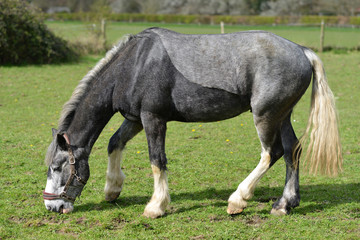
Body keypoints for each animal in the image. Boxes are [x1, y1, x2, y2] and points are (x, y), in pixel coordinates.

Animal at [43, 27, 342, 218]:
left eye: (57, 167)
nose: (52, 207)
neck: (134, 65)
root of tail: (302, 51)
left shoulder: (153, 119)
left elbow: (157, 161)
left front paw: (156, 207)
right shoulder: (136, 120)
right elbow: (114, 143)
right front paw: (112, 189)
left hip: (265, 116)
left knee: (272, 153)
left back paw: (238, 199)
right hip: (282, 116)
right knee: (293, 151)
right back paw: (284, 204)